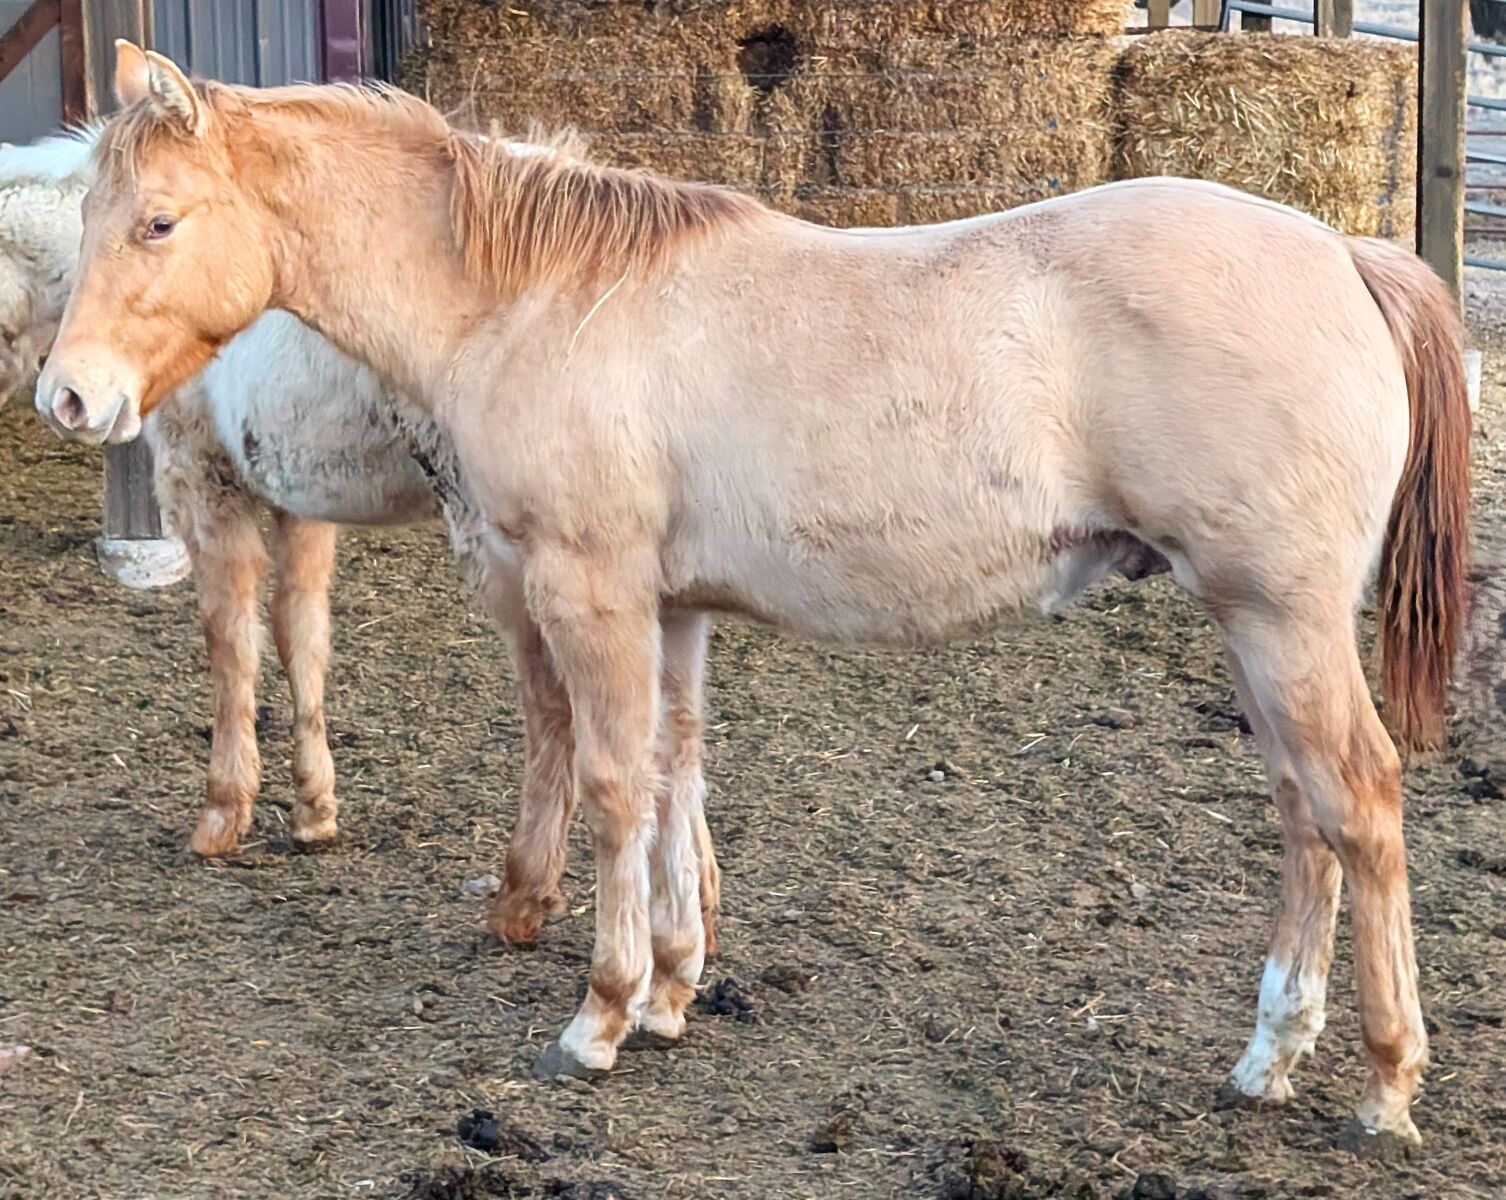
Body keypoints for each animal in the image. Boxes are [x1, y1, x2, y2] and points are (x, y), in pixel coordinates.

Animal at [0, 124, 721, 951]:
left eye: (155, 225)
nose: (67, 401)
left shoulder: (207, 484)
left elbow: (231, 643)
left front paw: (224, 811)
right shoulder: (300, 502)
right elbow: (302, 635)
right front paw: (314, 806)